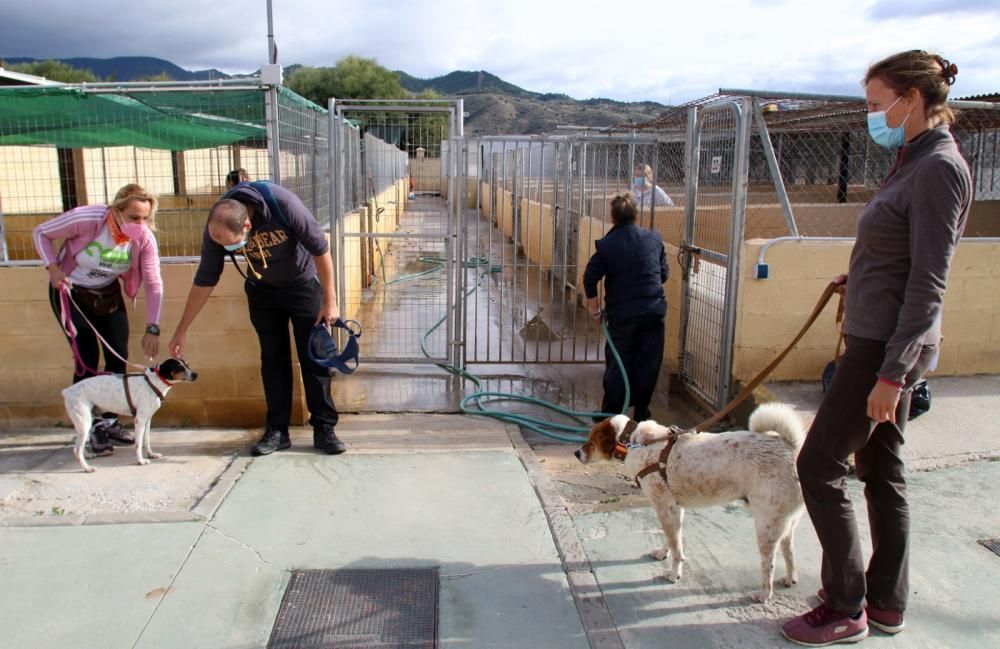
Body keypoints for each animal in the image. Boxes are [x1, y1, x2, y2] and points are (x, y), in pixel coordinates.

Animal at [61, 356, 198, 474]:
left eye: (187, 365)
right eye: (179, 367)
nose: (196, 375)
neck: (154, 382)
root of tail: (67, 391)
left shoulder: (147, 419)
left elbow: (146, 441)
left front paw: (151, 454)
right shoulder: (139, 420)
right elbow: (138, 444)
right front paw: (140, 461)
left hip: (85, 422)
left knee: (77, 447)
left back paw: (88, 456)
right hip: (85, 423)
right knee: (77, 450)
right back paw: (87, 468)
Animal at [580, 400, 804, 604]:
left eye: (591, 440)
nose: (576, 453)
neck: (634, 441)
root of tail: (790, 447)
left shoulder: (665, 507)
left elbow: (675, 545)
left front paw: (674, 574)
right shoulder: (676, 508)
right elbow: (673, 539)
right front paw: (663, 553)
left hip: (766, 526)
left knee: (769, 564)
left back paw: (765, 594)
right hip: (784, 522)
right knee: (789, 550)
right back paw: (790, 578)